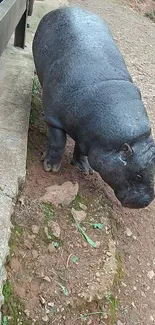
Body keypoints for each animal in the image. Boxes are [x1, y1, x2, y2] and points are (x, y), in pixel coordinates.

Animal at [32, 6, 155, 208]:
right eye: (138, 175)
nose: (144, 203)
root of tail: (65, 7)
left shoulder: (88, 136)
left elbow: (82, 151)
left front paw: (84, 169)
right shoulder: (54, 119)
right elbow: (58, 142)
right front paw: (50, 168)